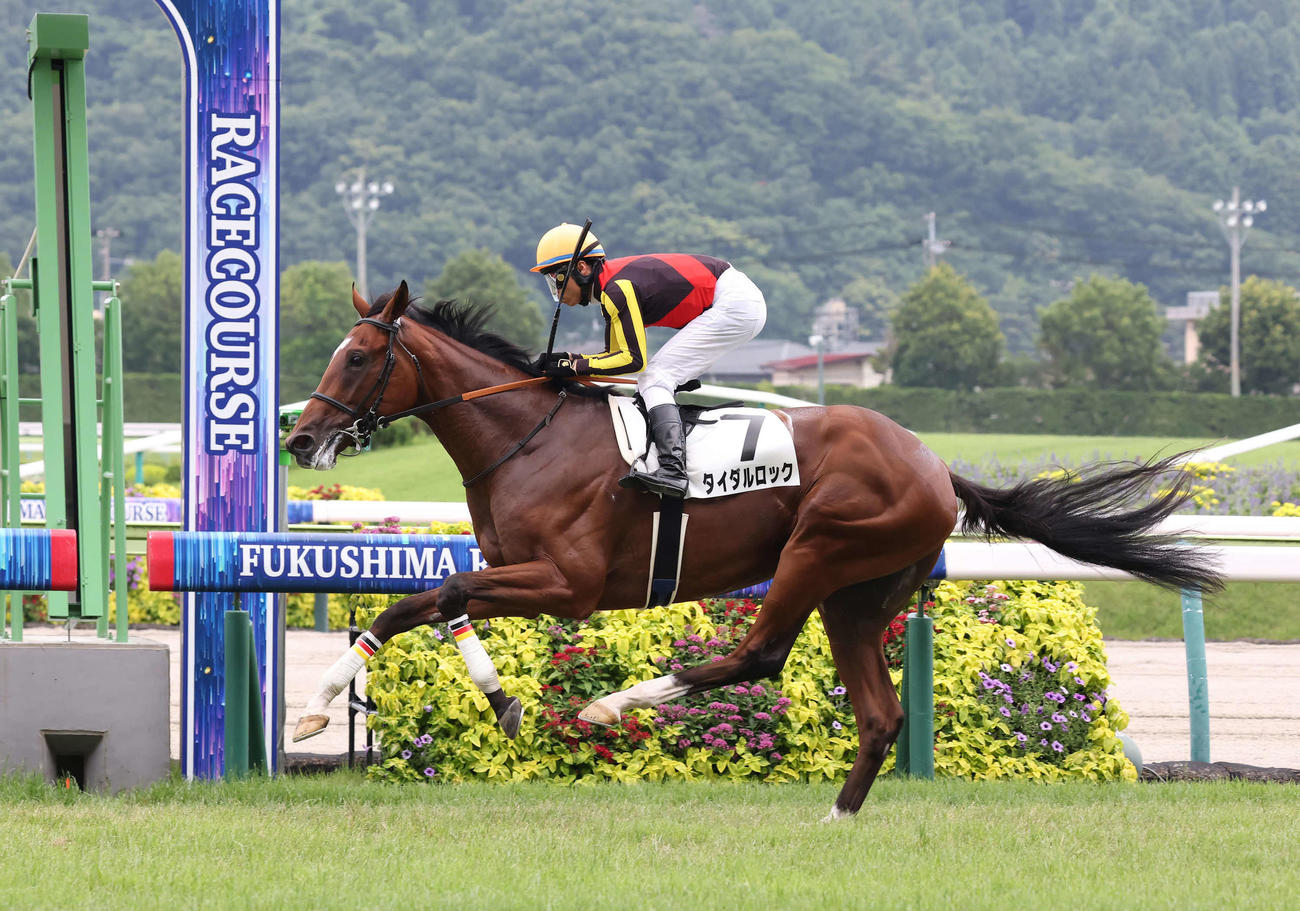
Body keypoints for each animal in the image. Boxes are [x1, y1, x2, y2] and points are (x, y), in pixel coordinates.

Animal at [284, 281, 1220, 818]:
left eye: (359, 356)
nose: (300, 438)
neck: (529, 434)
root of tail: (935, 465)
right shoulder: (519, 571)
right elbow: (420, 602)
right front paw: (329, 703)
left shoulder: (567, 582)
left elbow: (440, 595)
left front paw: (498, 701)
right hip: (857, 594)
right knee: (879, 713)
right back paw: (836, 818)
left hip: (819, 550)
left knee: (760, 654)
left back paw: (615, 704)